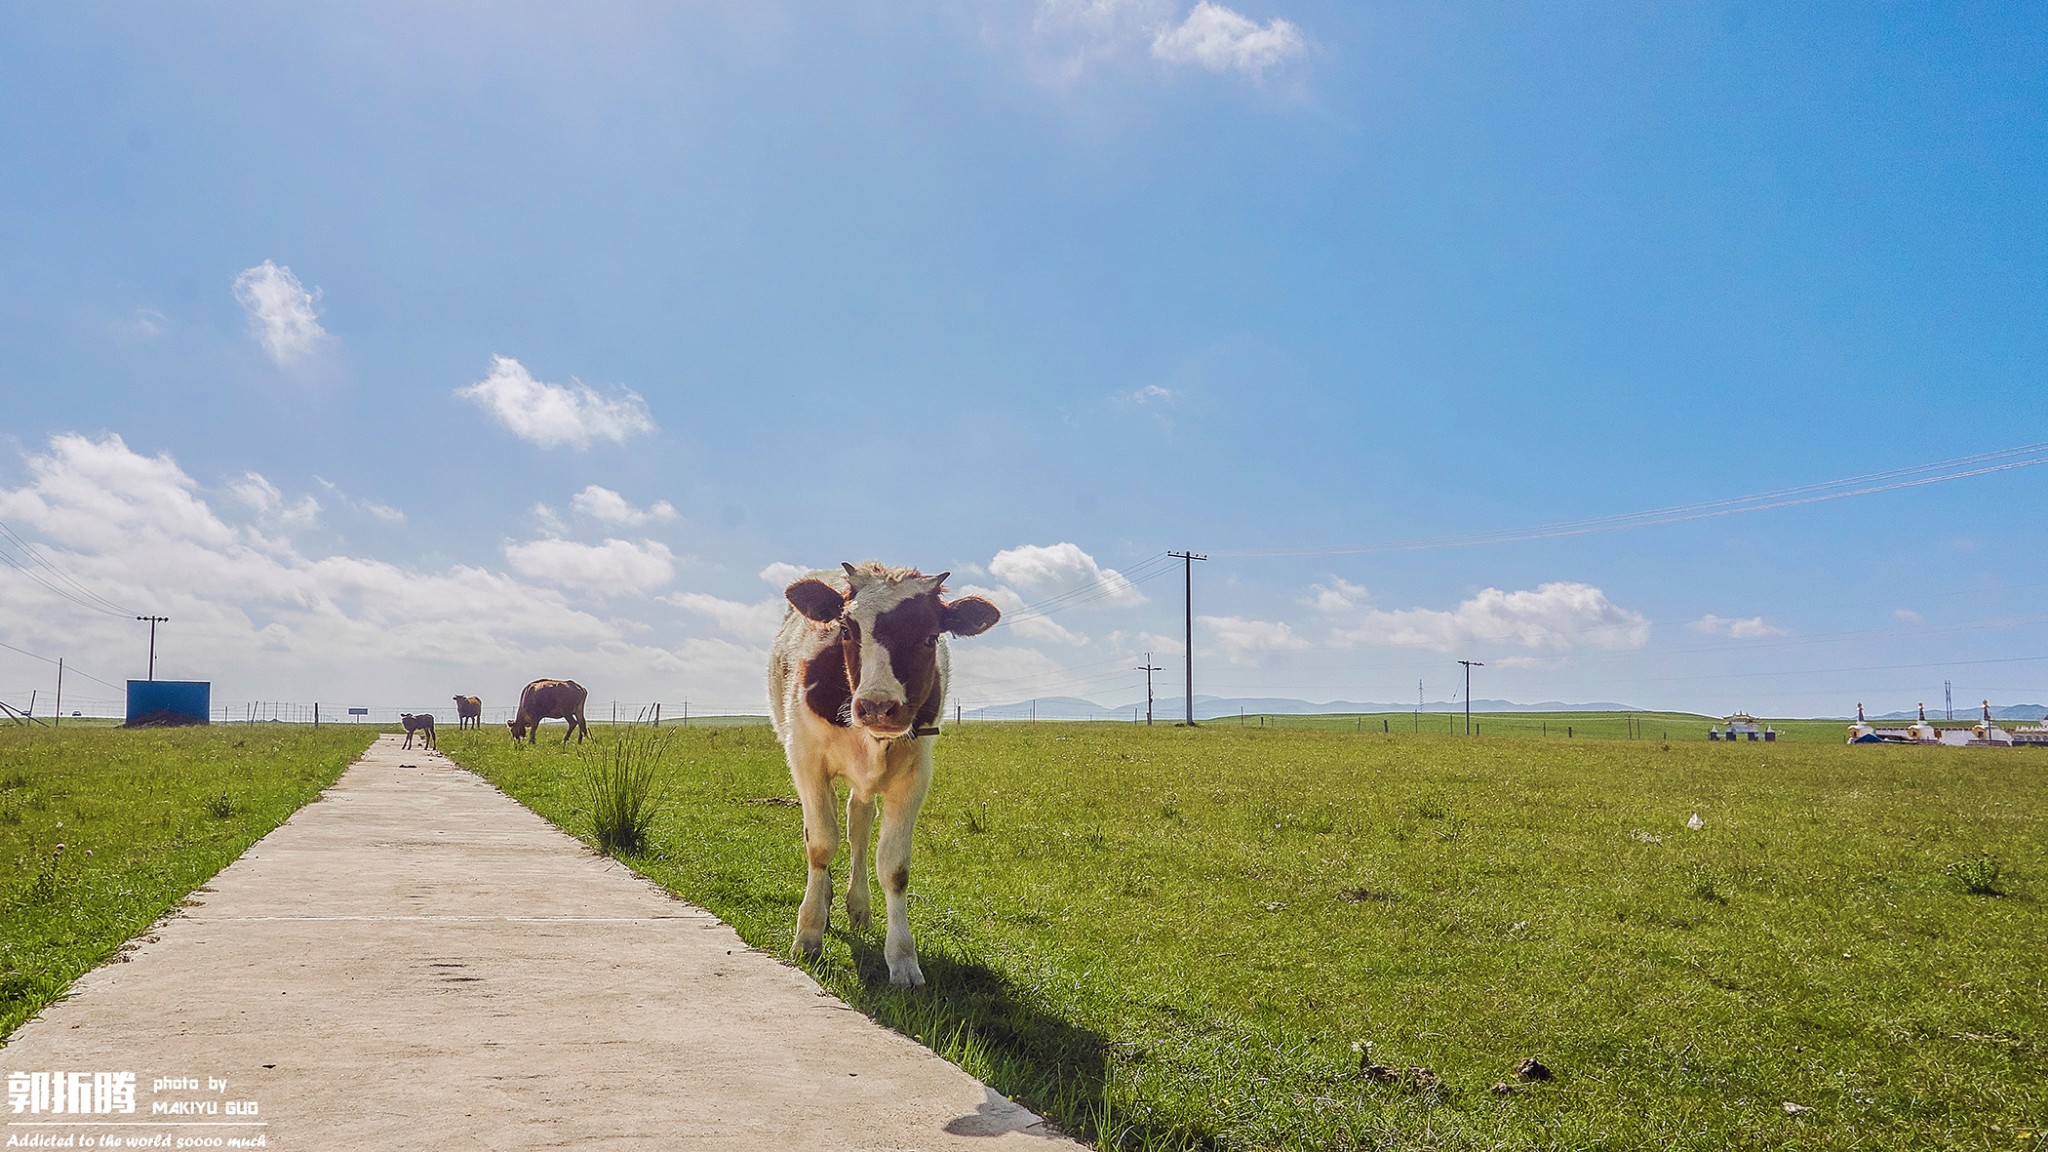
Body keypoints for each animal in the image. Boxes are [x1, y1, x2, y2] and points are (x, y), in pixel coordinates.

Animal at [765, 561, 995, 983]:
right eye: (846, 629)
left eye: (930, 637)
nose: (876, 706)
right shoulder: (806, 758)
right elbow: (820, 844)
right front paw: (808, 933)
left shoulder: (915, 774)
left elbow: (894, 866)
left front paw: (903, 958)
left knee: (858, 824)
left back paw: (858, 905)